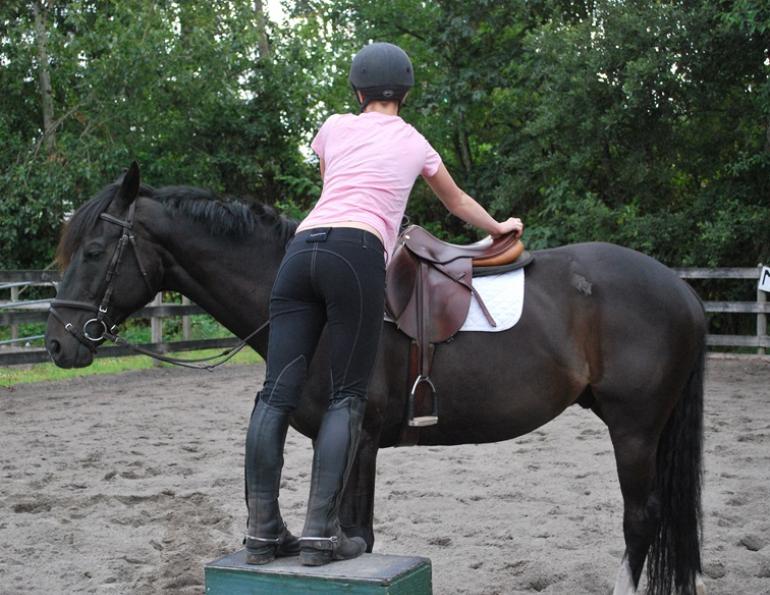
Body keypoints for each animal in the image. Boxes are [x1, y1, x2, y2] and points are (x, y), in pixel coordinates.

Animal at [45, 163, 706, 595]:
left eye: (96, 251)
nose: (57, 342)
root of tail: (681, 290)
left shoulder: (357, 436)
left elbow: (354, 531)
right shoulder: (352, 443)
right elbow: (354, 529)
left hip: (634, 428)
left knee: (641, 516)